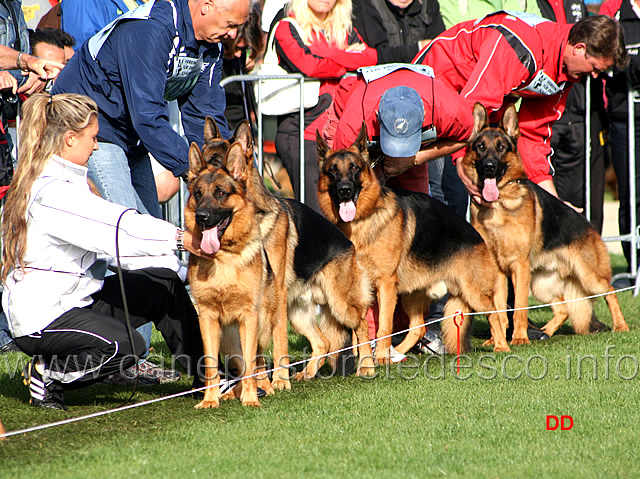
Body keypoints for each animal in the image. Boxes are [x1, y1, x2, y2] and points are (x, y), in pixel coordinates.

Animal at [202, 119, 378, 382]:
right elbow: (255, 345)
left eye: (216, 162)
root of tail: (348, 243)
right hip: (298, 313)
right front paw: (260, 380)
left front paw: (278, 380)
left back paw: (366, 366)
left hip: (340, 304)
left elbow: (278, 341)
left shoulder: (275, 294)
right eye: (200, 158)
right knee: (323, 342)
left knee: (362, 326)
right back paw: (308, 373)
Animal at [316, 125, 510, 358]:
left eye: (354, 168)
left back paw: (502, 347)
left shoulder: (386, 284)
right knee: (418, 328)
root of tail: (475, 234)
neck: (363, 220)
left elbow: (384, 326)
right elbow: (359, 327)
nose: (345, 190)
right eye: (333, 170)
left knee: (495, 314)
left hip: (473, 293)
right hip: (412, 296)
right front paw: (362, 356)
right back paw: (398, 354)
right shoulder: (361, 288)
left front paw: (380, 357)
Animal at [460, 102, 632, 342]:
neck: (499, 206)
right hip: (541, 284)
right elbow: (500, 309)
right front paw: (497, 340)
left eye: (501, 147)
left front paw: (519, 338)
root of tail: (588, 224)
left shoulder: (519, 267)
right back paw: (545, 333)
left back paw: (621, 326)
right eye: (481, 147)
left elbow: (519, 307)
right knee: (563, 309)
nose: (489, 167)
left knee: (610, 292)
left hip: (588, 277)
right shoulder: (499, 271)